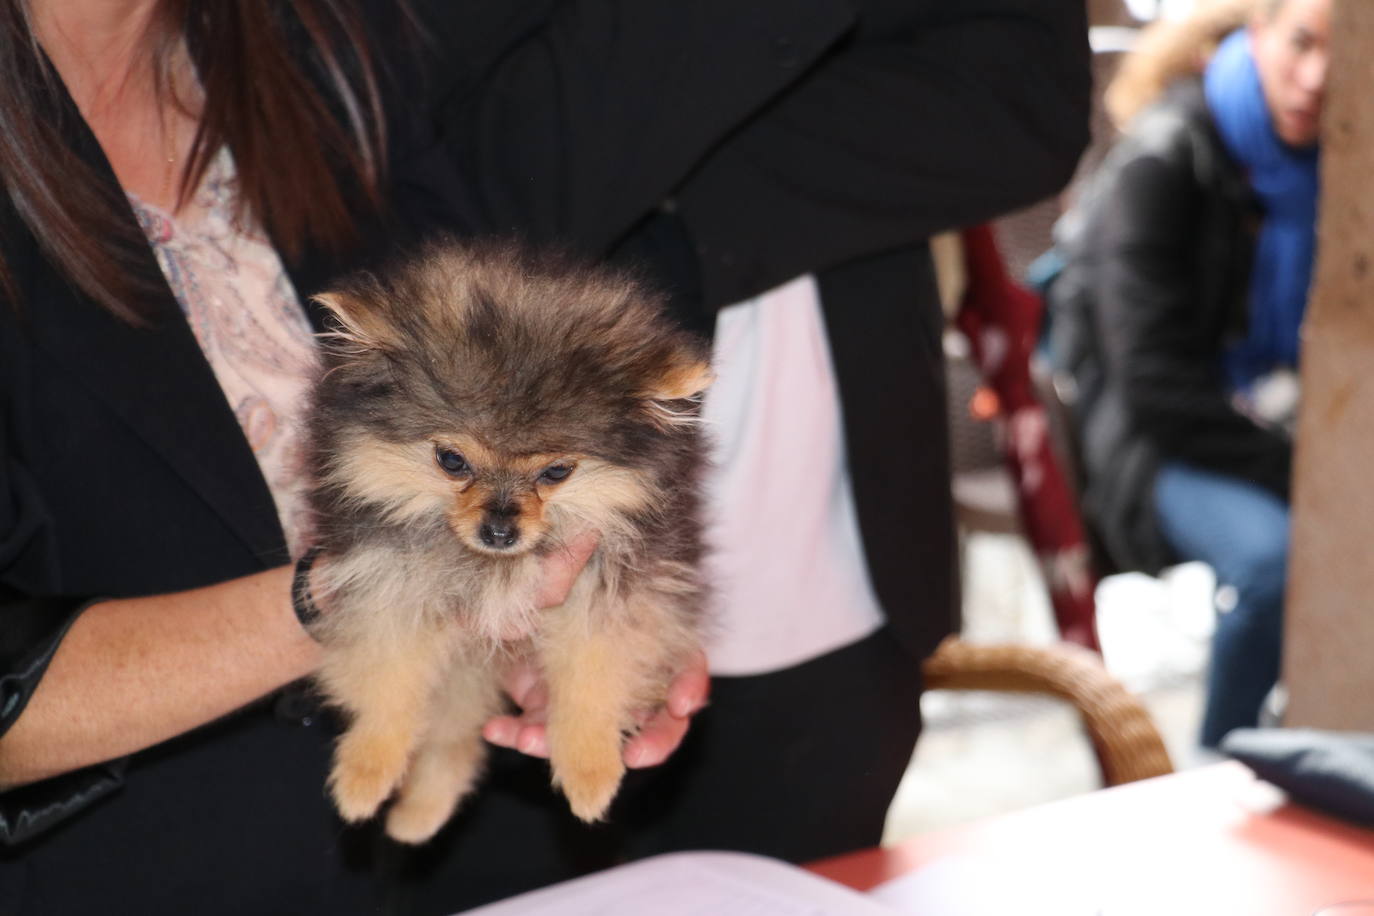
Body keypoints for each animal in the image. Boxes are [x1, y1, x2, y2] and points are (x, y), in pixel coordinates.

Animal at [300, 240, 708, 840]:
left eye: (557, 471)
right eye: (451, 460)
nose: (499, 530)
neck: (495, 567)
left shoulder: (610, 595)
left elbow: (593, 675)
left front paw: (589, 771)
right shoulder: (386, 590)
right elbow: (386, 683)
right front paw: (364, 773)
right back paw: (419, 812)